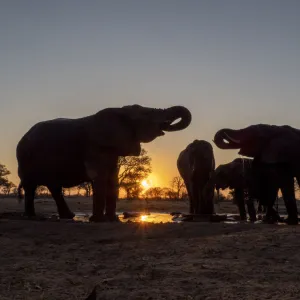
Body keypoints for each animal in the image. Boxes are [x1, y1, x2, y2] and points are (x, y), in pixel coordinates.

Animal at [16, 104, 191, 221]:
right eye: (147, 114)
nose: (166, 123)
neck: (120, 110)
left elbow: (113, 178)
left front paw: (112, 220)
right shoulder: (95, 147)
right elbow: (99, 177)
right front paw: (97, 220)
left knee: (54, 187)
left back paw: (68, 216)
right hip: (25, 158)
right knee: (31, 186)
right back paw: (31, 217)